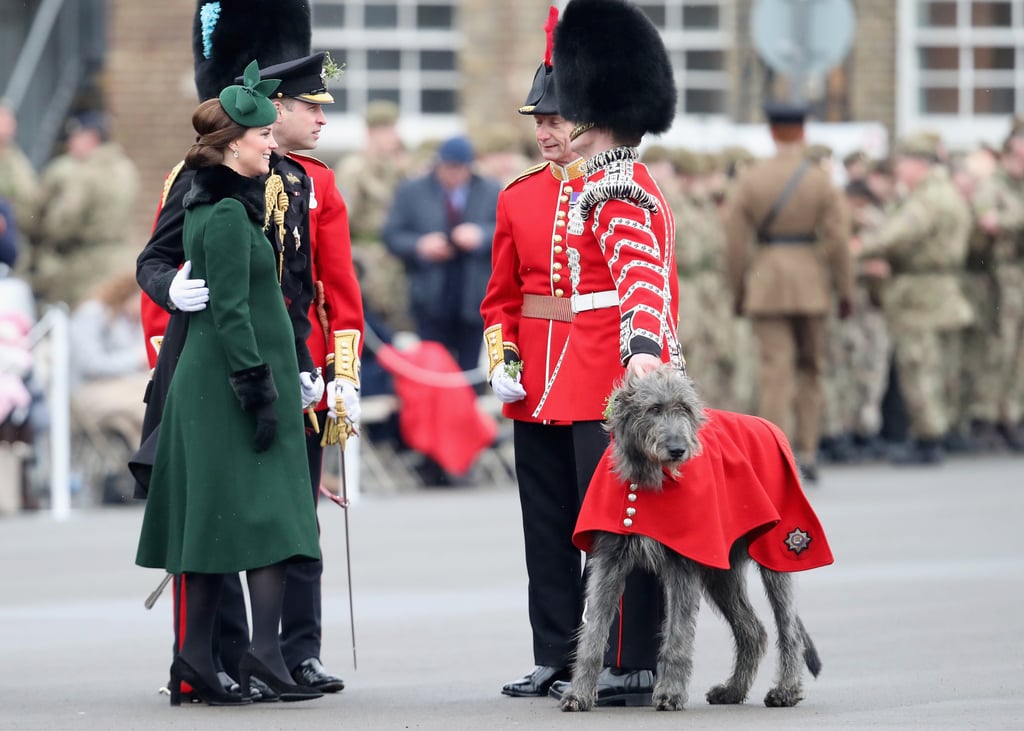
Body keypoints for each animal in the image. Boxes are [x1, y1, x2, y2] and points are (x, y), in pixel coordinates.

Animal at [561, 366, 823, 708]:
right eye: (653, 409)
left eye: (684, 409)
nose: (677, 450)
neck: (648, 477)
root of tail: (770, 427)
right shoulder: (609, 561)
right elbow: (593, 632)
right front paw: (578, 693)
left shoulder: (684, 563)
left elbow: (678, 633)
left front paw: (670, 692)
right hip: (720, 571)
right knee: (753, 631)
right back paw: (733, 690)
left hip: (777, 551)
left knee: (788, 628)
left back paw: (786, 691)